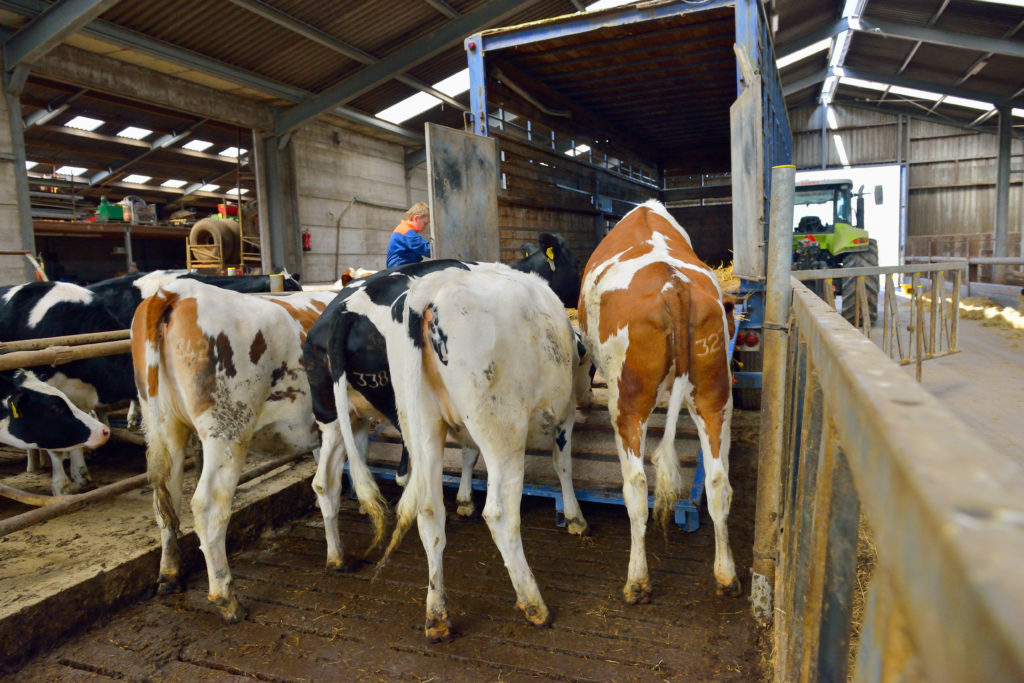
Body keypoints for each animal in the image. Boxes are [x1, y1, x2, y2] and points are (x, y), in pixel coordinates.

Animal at [130, 280, 333, 622]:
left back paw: (170, 577)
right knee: (208, 507)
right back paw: (227, 599)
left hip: (163, 426)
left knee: (166, 499)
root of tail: (176, 291)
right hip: (227, 431)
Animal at [577, 198, 737, 602]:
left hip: (628, 406)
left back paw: (637, 580)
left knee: (636, 487)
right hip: (714, 397)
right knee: (718, 482)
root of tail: (673, 286)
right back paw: (726, 576)